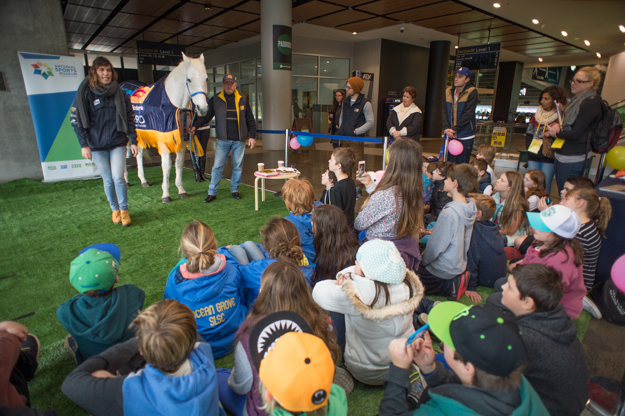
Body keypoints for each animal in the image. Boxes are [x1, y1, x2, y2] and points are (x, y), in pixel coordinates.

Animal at [133, 52, 208, 202]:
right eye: (189, 79)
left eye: (206, 78)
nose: (202, 108)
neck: (172, 105)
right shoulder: (164, 140)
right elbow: (166, 166)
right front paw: (166, 194)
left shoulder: (182, 139)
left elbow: (178, 163)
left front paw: (181, 190)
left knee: (139, 154)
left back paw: (143, 180)